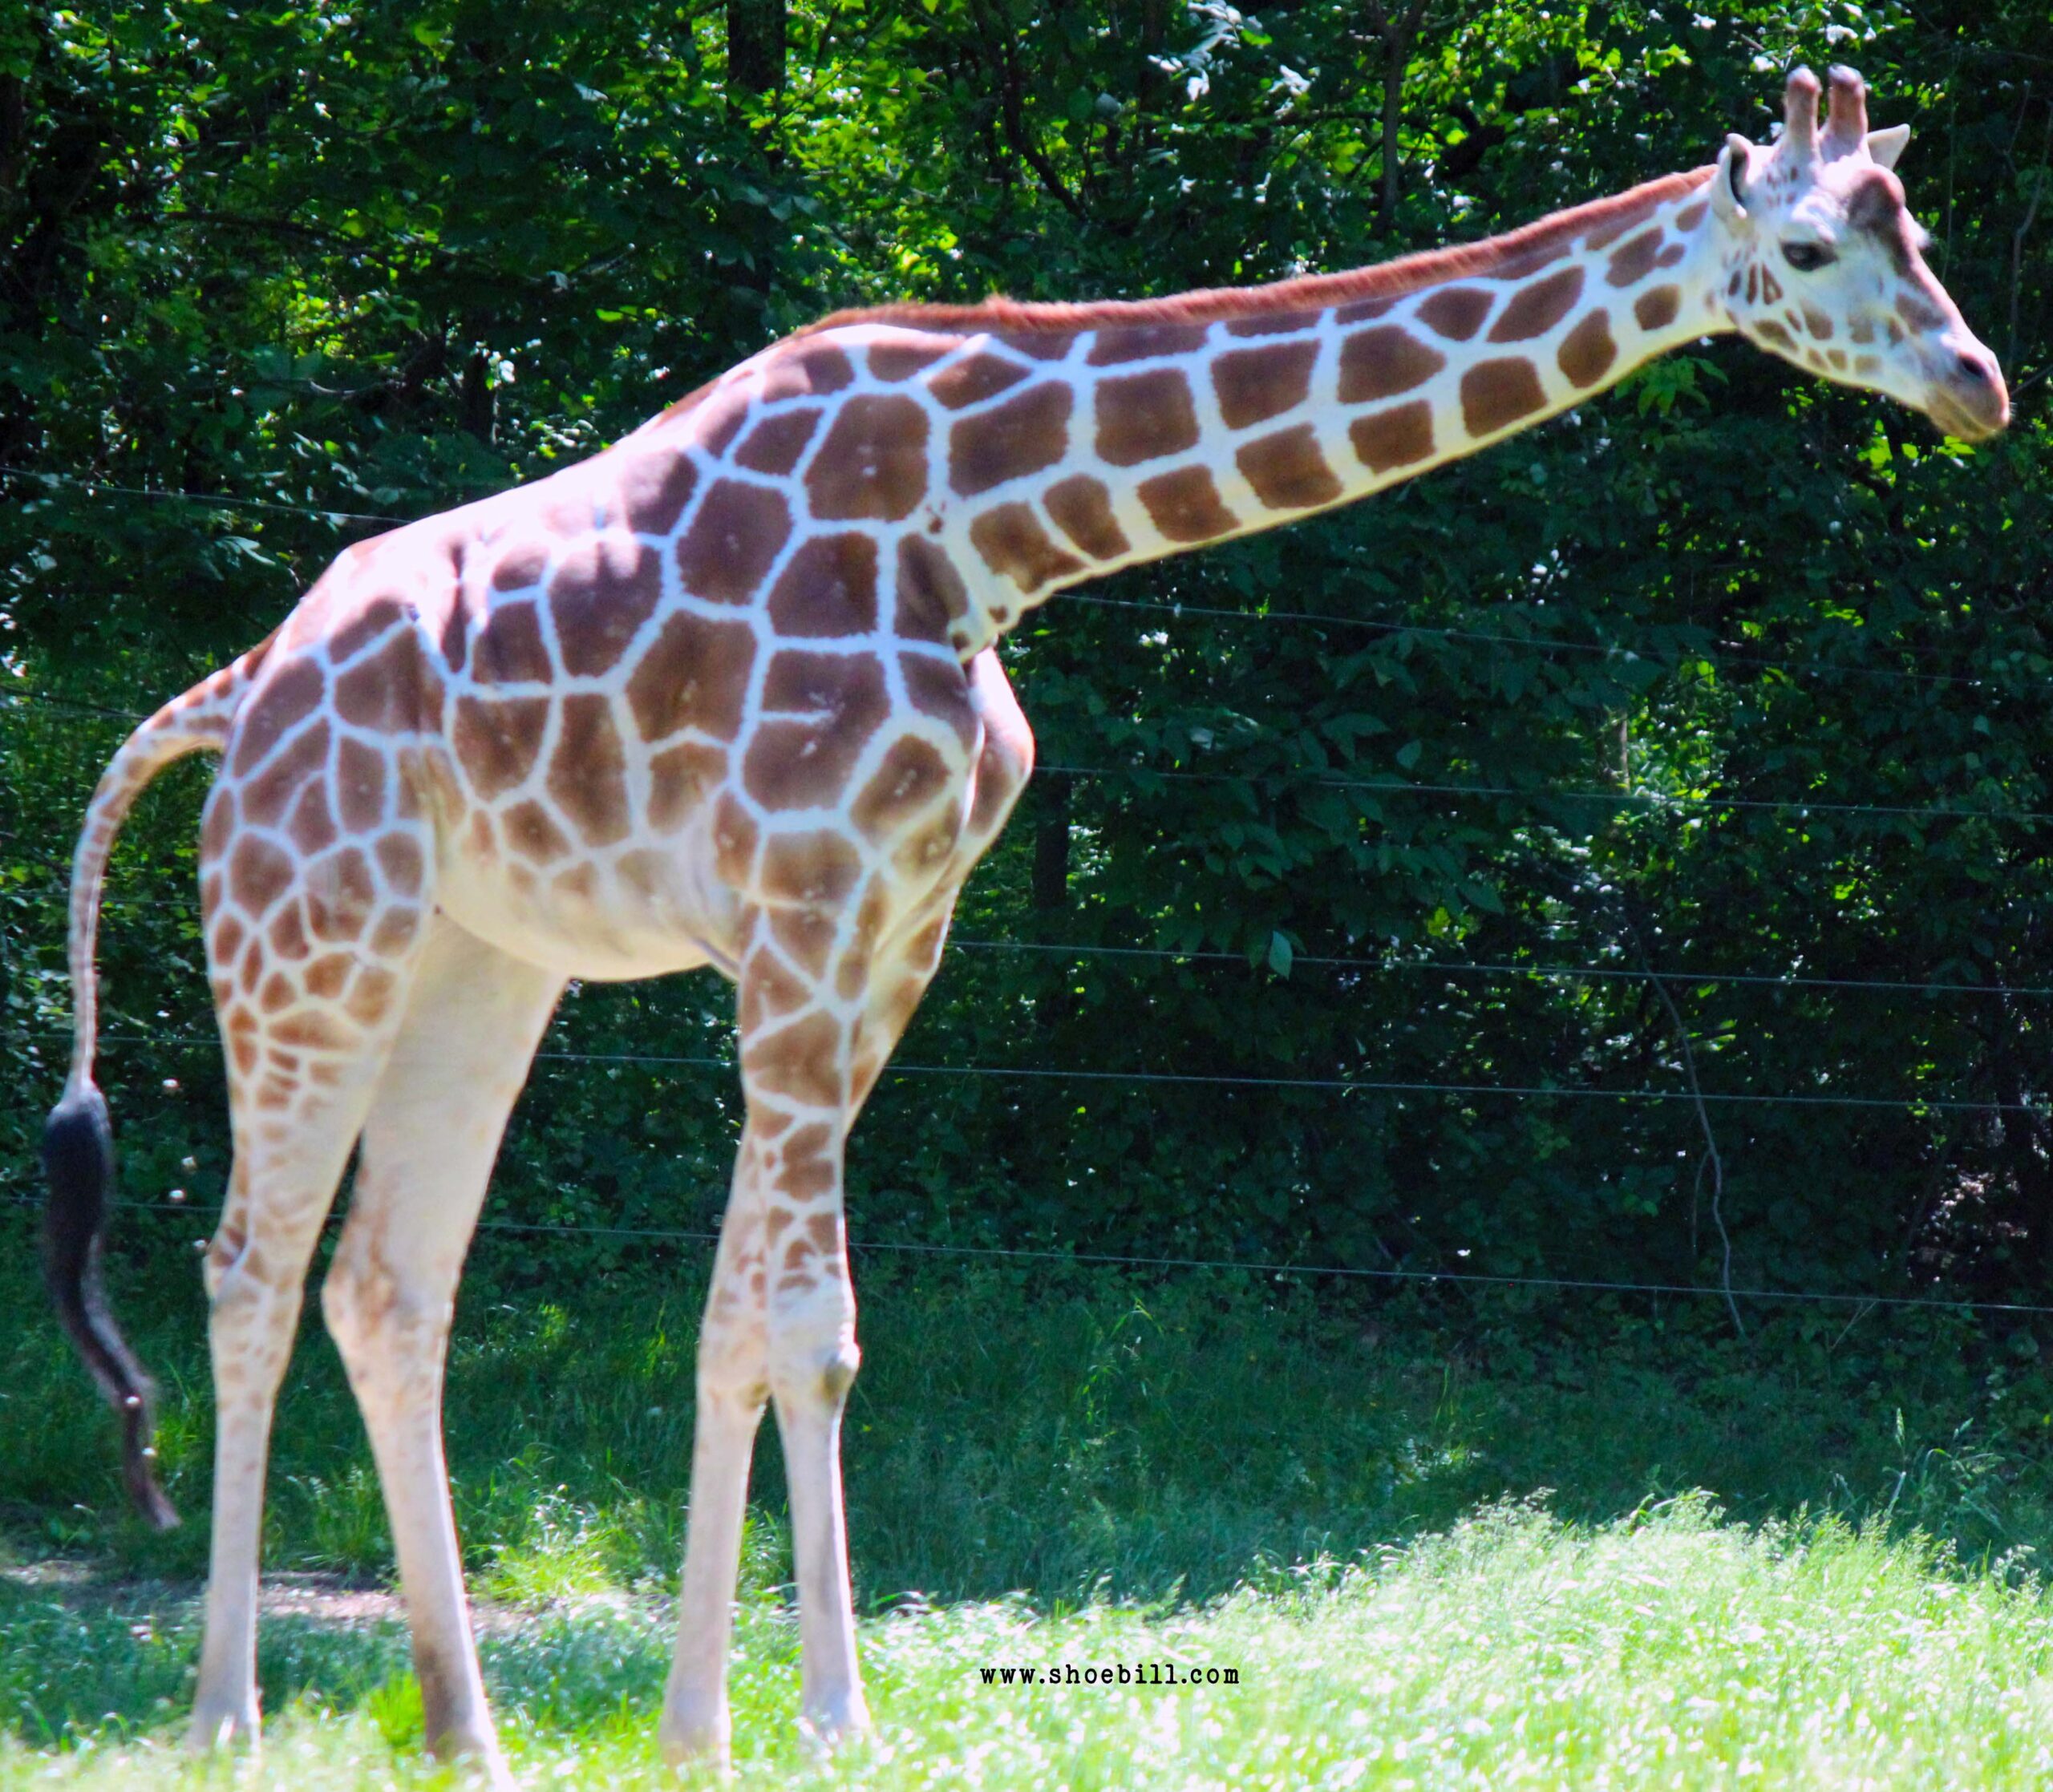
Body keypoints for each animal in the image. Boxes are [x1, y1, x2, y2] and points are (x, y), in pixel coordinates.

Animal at [44, 66, 2003, 1773]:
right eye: (1811, 250)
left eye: (1916, 234)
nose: (1978, 385)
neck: (992, 525)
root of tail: (233, 693)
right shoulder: (800, 913)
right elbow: (780, 1322)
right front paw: (787, 1723)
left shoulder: (891, 934)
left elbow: (775, 1325)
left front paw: (749, 1723)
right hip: (309, 933)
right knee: (249, 1264)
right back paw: (223, 1719)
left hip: (483, 962)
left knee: (388, 1284)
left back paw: (467, 1733)